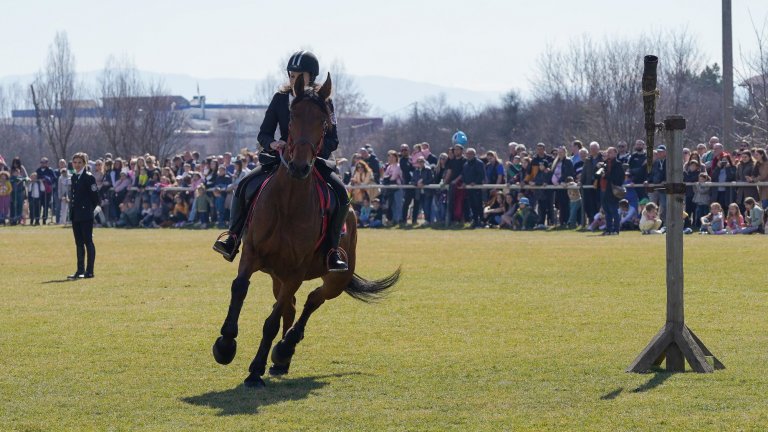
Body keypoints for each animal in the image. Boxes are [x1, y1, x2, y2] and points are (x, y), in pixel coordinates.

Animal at [212, 71, 402, 388]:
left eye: (323, 122)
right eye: (291, 118)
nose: (300, 166)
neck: (288, 202)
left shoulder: (296, 271)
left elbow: (272, 321)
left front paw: (254, 370)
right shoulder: (251, 254)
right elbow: (240, 288)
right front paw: (225, 345)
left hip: (335, 277)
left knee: (312, 301)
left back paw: (285, 348)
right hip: (277, 275)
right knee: (291, 306)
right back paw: (280, 360)